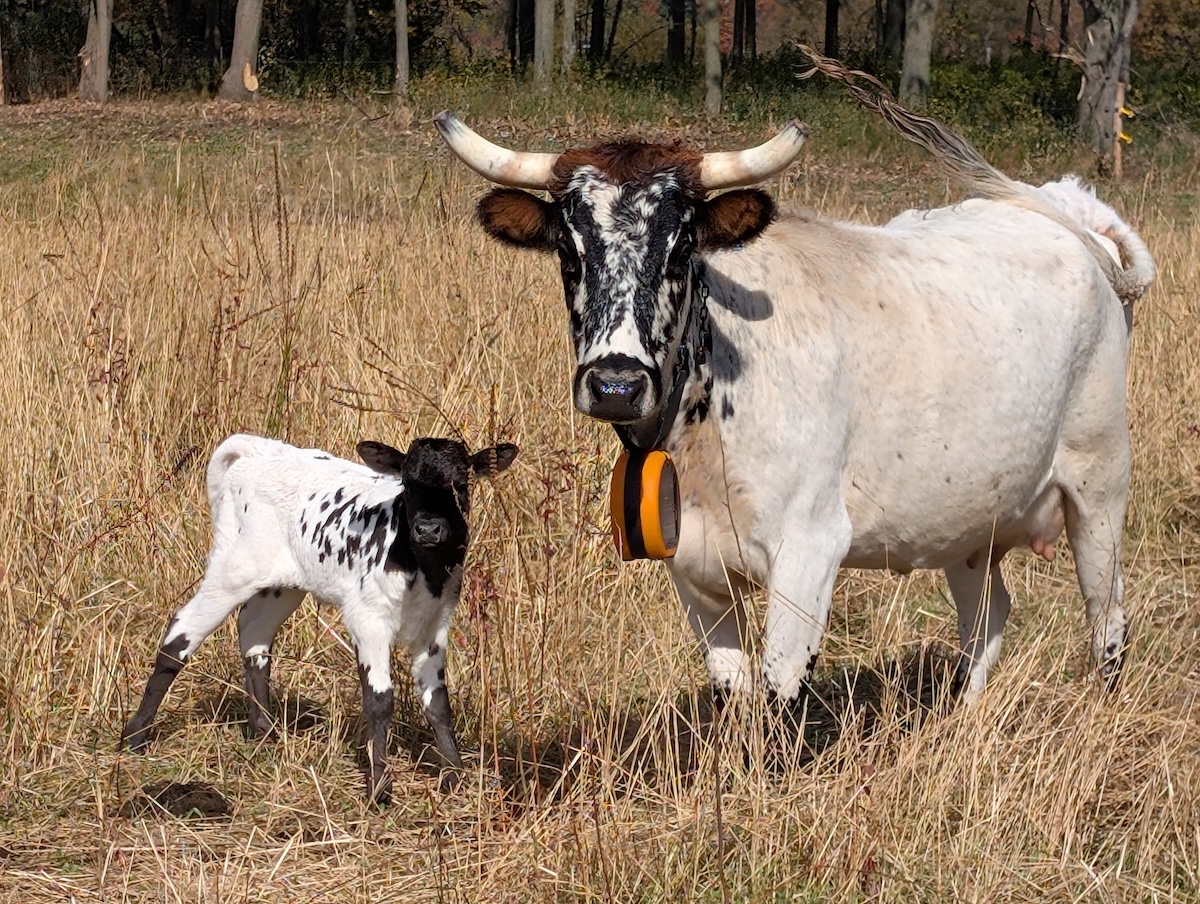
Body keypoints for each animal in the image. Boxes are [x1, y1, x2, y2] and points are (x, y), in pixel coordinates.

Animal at [432, 84, 1154, 708]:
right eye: (568, 248)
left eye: (682, 246)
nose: (616, 385)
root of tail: (1072, 210)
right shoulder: (694, 569)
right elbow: (732, 691)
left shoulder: (809, 550)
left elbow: (779, 698)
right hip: (973, 514)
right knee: (987, 618)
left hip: (1100, 484)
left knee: (1108, 617)